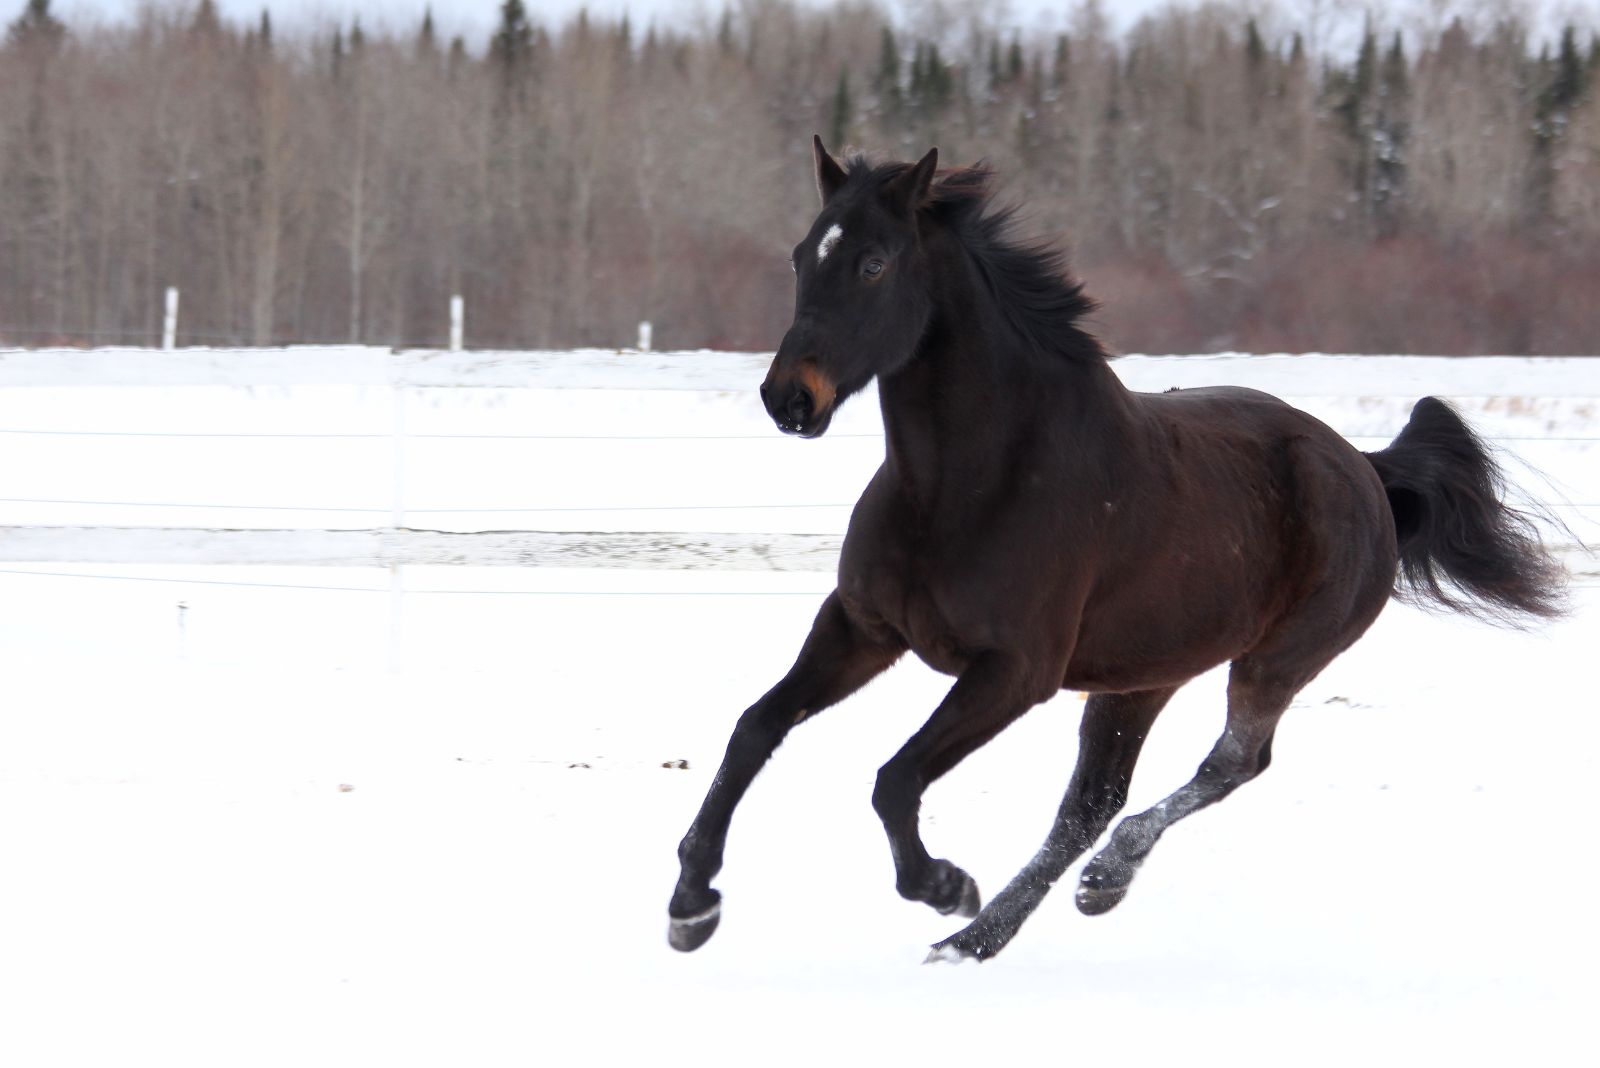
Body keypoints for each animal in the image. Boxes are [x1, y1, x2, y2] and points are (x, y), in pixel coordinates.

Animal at [662, 137, 1561, 965]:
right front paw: (692, 903)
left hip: (1276, 660)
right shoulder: (861, 628)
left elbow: (895, 779)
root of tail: (1368, 470)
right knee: (1090, 804)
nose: (789, 398)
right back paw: (990, 936)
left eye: (875, 262)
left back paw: (1073, 890)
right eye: (801, 254)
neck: (966, 485)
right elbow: (755, 728)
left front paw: (944, 884)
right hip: (1140, 678)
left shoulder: (1014, 671)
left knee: (1230, 764)